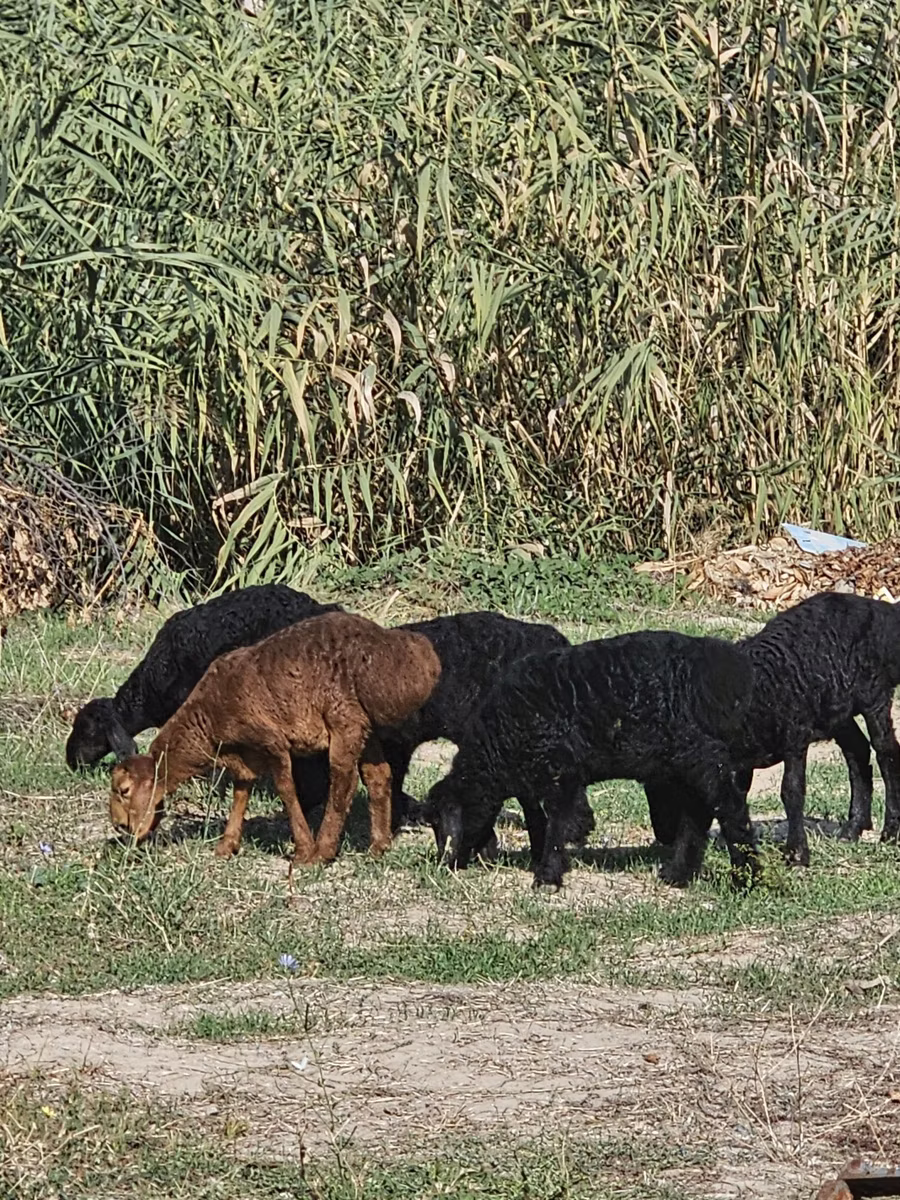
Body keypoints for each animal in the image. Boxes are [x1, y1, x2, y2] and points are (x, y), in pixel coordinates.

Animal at [108, 612, 442, 865]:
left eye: (124, 790)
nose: (121, 827)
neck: (208, 720)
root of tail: (413, 658)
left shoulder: (272, 743)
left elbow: (286, 791)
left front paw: (303, 849)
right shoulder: (242, 754)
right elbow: (241, 792)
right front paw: (226, 845)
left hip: (343, 721)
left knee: (342, 788)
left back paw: (322, 852)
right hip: (364, 725)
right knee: (378, 776)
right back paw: (378, 846)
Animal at [423, 629, 758, 891]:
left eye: (441, 823)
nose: (446, 864)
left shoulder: (560, 772)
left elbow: (557, 824)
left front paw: (547, 876)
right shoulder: (548, 778)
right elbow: (541, 819)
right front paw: (543, 861)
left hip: (701, 754)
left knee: (729, 807)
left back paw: (746, 878)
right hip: (685, 764)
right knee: (697, 813)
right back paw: (677, 875)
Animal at [646, 591, 900, 868]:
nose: (663, 836)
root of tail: (880, 609)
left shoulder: (795, 737)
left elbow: (792, 791)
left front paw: (797, 853)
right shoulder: (740, 756)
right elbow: (736, 795)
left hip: (875, 695)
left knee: (886, 753)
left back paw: (890, 832)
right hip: (837, 710)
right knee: (858, 752)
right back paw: (853, 827)